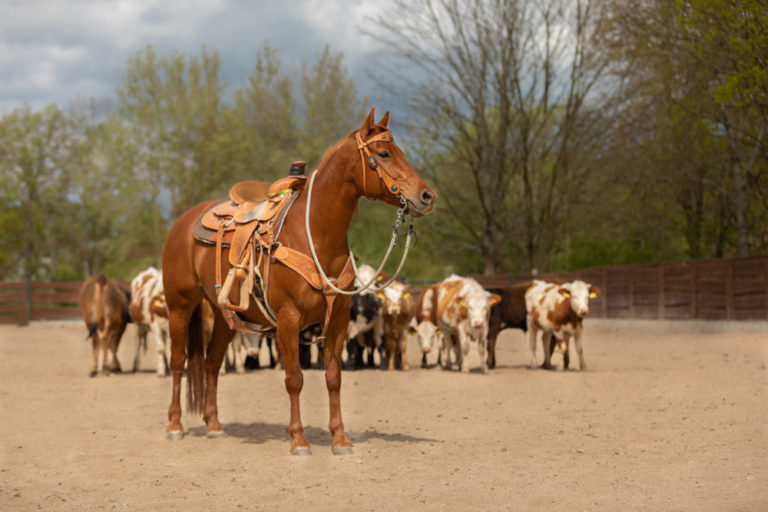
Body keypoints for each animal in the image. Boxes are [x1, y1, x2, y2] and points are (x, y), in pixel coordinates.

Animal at [160, 109, 438, 456]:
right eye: (384, 153)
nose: (427, 196)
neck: (315, 235)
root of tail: (182, 223)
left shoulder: (339, 320)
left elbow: (333, 377)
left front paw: (340, 439)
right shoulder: (288, 320)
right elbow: (294, 378)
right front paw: (299, 440)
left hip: (225, 315)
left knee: (211, 363)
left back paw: (213, 425)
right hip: (179, 306)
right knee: (178, 361)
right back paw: (174, 425)